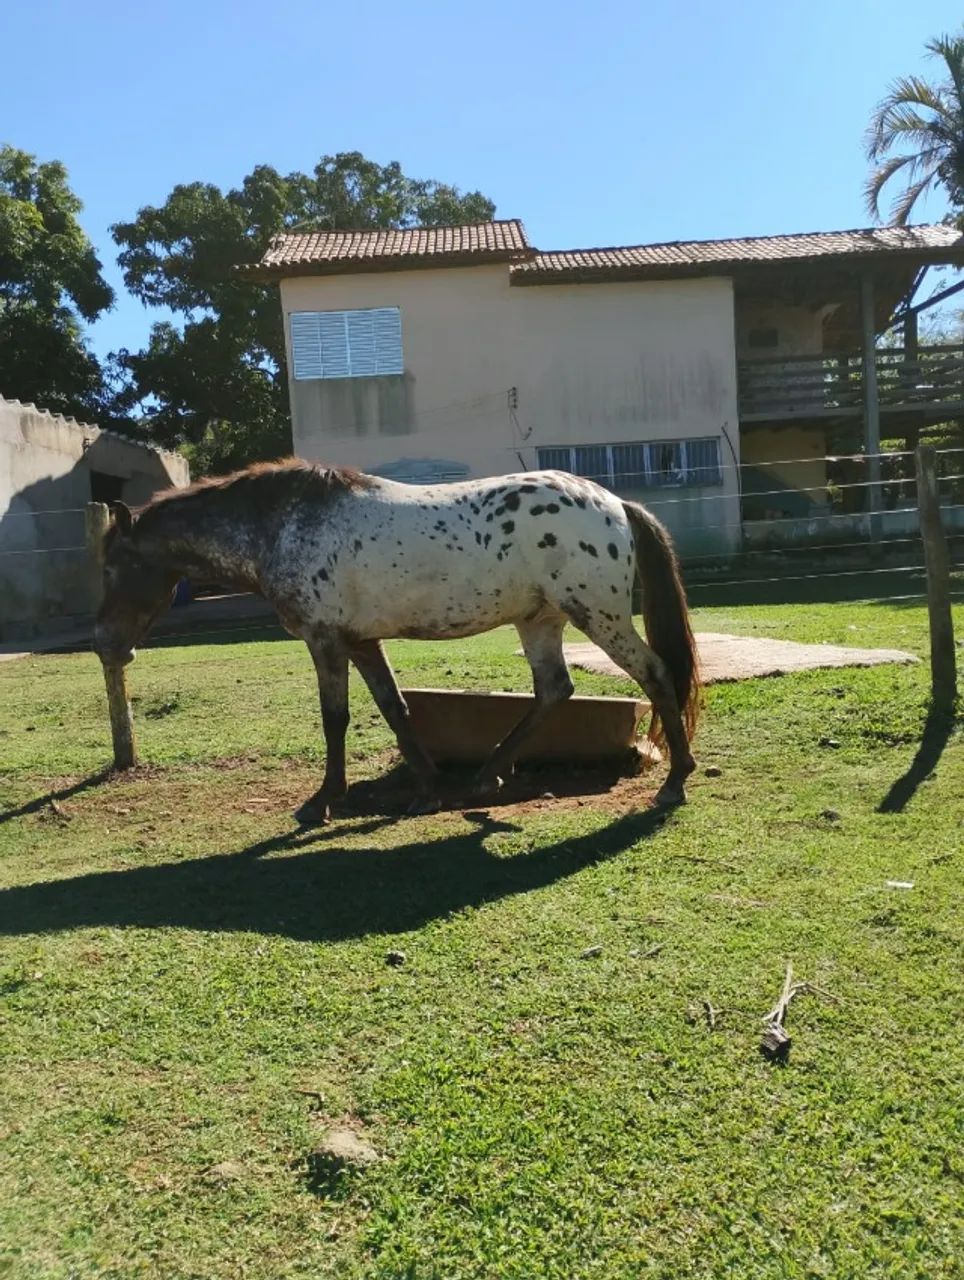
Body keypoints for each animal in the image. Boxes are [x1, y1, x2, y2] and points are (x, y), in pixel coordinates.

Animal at [94, 459, 699, 822]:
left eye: (115, 566)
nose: (106, 644)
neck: (281, 525)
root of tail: (616, 504)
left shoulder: (326, 640)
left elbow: (334, 718)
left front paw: (322, 800)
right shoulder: (362, 643)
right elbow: (394, 708)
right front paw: (428, 786)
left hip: (598, 615)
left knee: (655, 674)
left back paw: (675, 780)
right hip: (540, 620)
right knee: (554, 690)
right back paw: (485, 777)